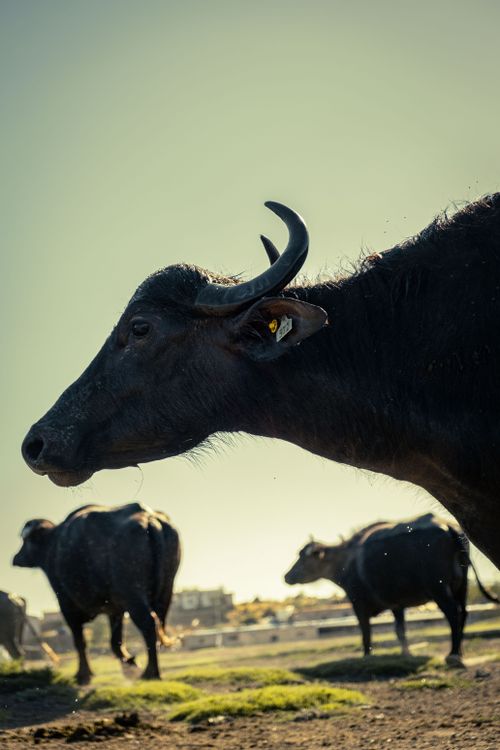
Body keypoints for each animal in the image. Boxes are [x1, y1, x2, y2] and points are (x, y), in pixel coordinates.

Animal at [13, 502, 180, 684]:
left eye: (25, 541)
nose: (16, 558)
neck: (52, 546)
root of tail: (148, 518)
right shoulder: (115, 610)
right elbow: (115, 641)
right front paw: (130, 663)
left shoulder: (66, 605)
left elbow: (79, 641)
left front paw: (83, 674)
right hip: (166, 590)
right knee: (157, 623)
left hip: (133, 594)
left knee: (148, 624)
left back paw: (150, 672)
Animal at [285, 514, 499, 664]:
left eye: (304, 557)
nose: (287, 576)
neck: (347, 559)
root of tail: (448, 527)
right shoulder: (397, 604)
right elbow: (400, 630)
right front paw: (406, 653)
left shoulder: (357, 602)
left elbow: (365, 631)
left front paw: (367, 655)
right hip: (462, 585)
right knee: (464, 612)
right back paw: (460, 651)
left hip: (438, 588)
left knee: (454, 613)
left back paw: (453, 654)